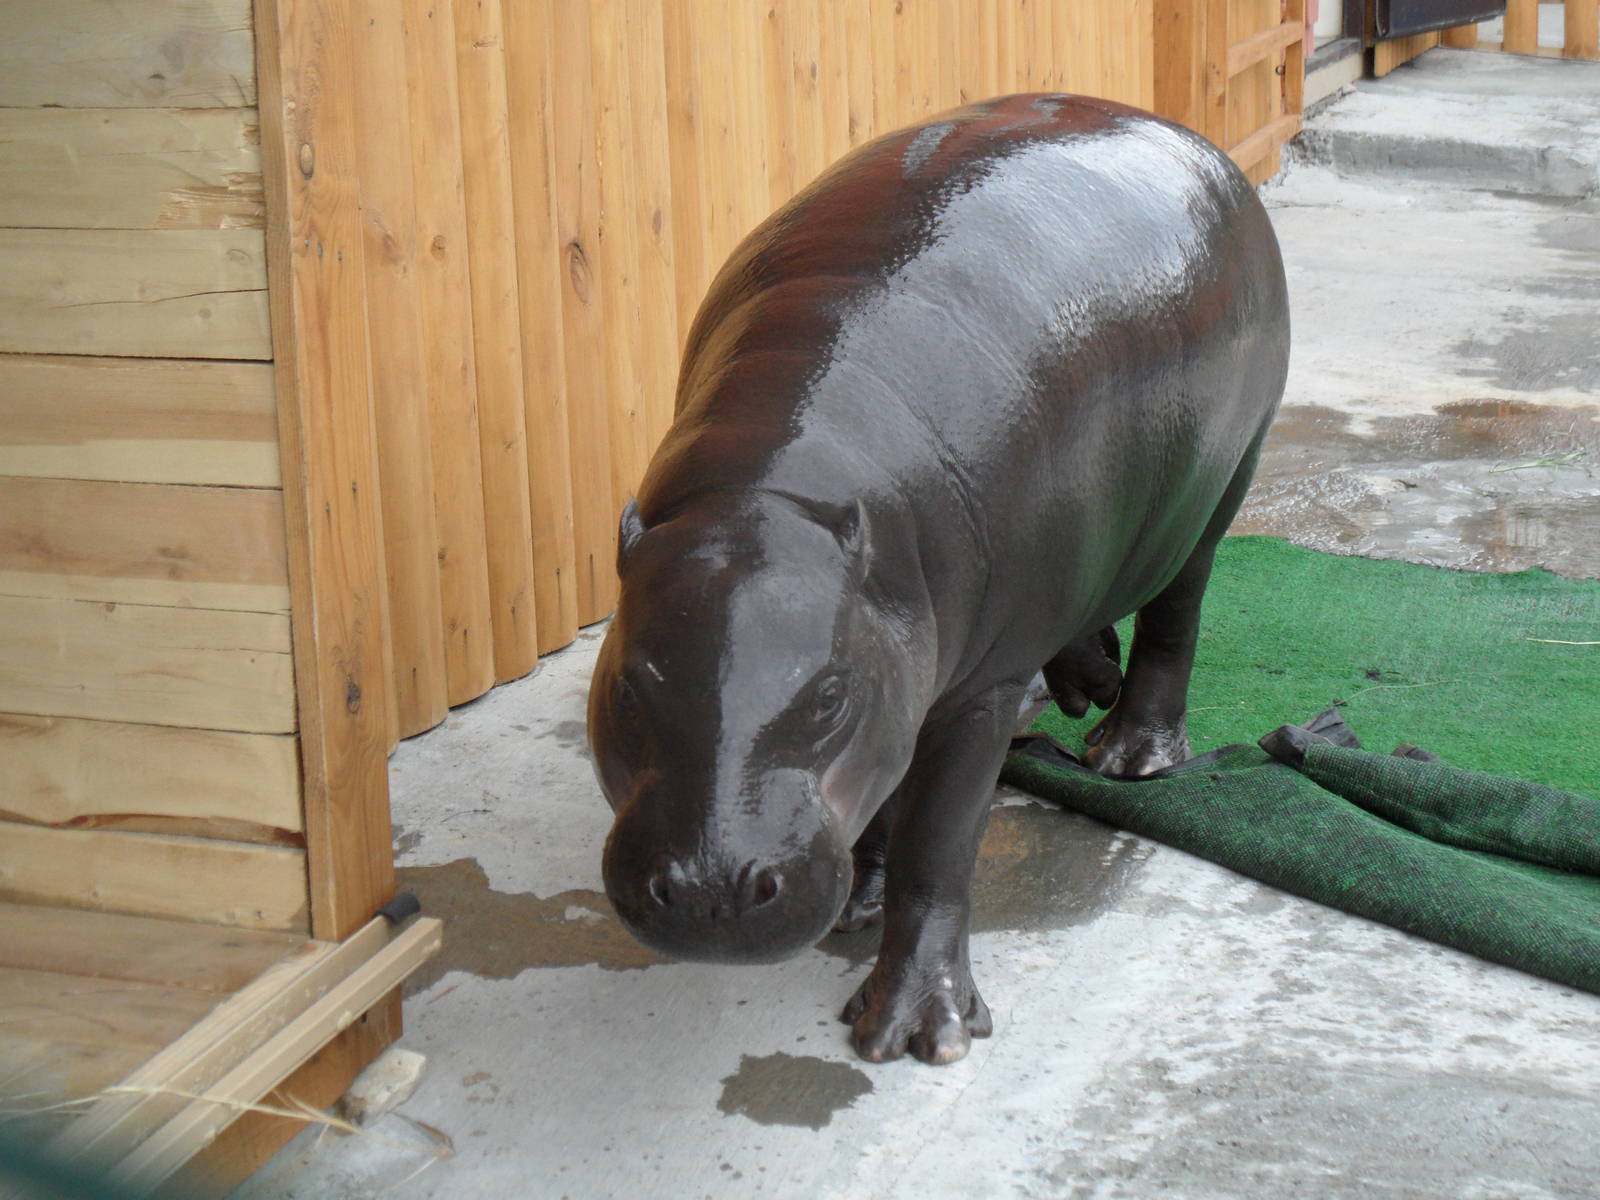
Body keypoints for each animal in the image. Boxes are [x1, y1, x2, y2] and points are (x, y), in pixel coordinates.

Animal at [588, 94, 1289, 1065]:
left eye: (828, 697)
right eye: (626, 685)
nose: (708, 889)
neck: (772, 498)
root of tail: (1194, 141)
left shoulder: (967, 685)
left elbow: (939, 838)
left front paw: (922, 1031)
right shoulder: (895, 654)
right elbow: (885, 786)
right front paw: (861, 898)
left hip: (1223, 484)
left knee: (1176, 614)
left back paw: (1126, 754)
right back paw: (1078, 689)